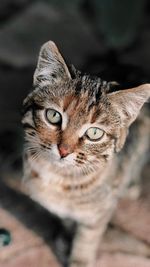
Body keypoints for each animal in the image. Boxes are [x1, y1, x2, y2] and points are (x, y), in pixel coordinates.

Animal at [21, 40, 149, 267]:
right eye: (53, 116)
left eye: (94, 133)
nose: (63, 150)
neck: (60, 176)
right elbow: (66, 219)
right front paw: (66, 237)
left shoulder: (97, 215)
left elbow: (87, 239)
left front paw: (79, 258)